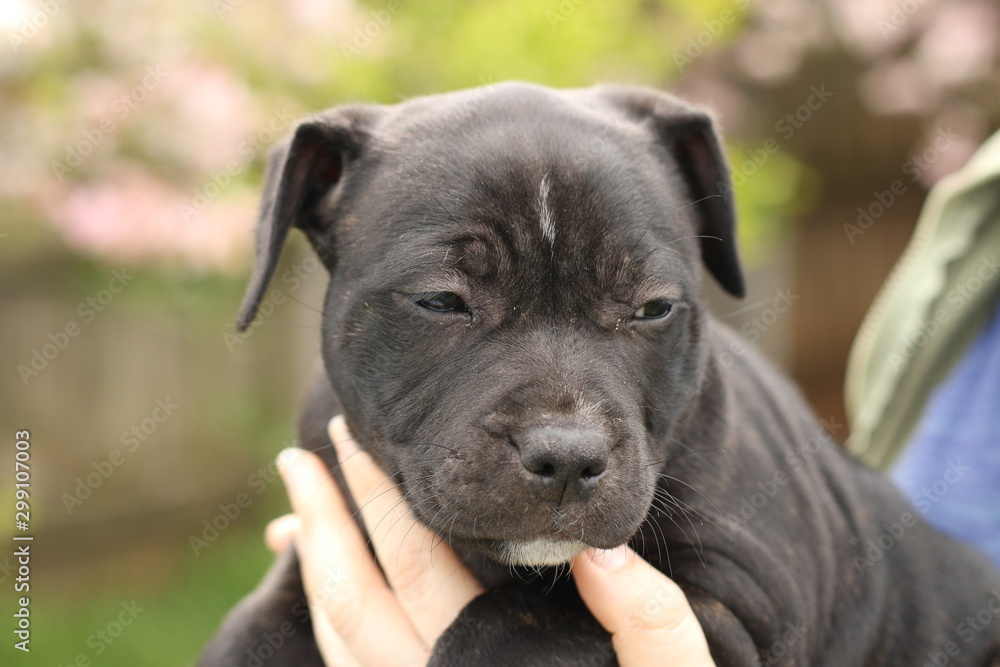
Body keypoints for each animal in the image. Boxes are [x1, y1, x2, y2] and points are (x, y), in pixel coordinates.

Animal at [201, 85, 1000, 667]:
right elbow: (249, 630)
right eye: (441, 301)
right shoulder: (318, 551)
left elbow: (531, 616)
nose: (566, 456)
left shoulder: (744, 604)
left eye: (653, 309)